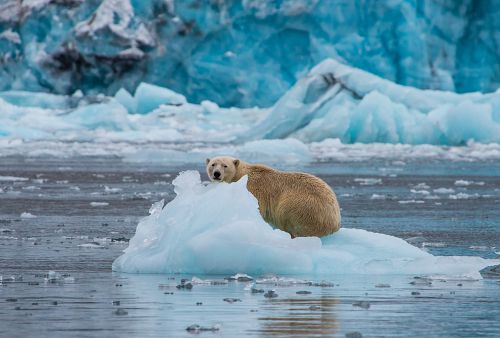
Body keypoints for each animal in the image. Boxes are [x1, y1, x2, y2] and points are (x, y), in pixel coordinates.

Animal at [205, 156, 342, 238]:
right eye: (213, 164)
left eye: (225, 165)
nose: (216, 174)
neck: (242, 174)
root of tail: (335, 222)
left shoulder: (254, 188)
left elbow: (259, 207)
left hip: (304, 206)